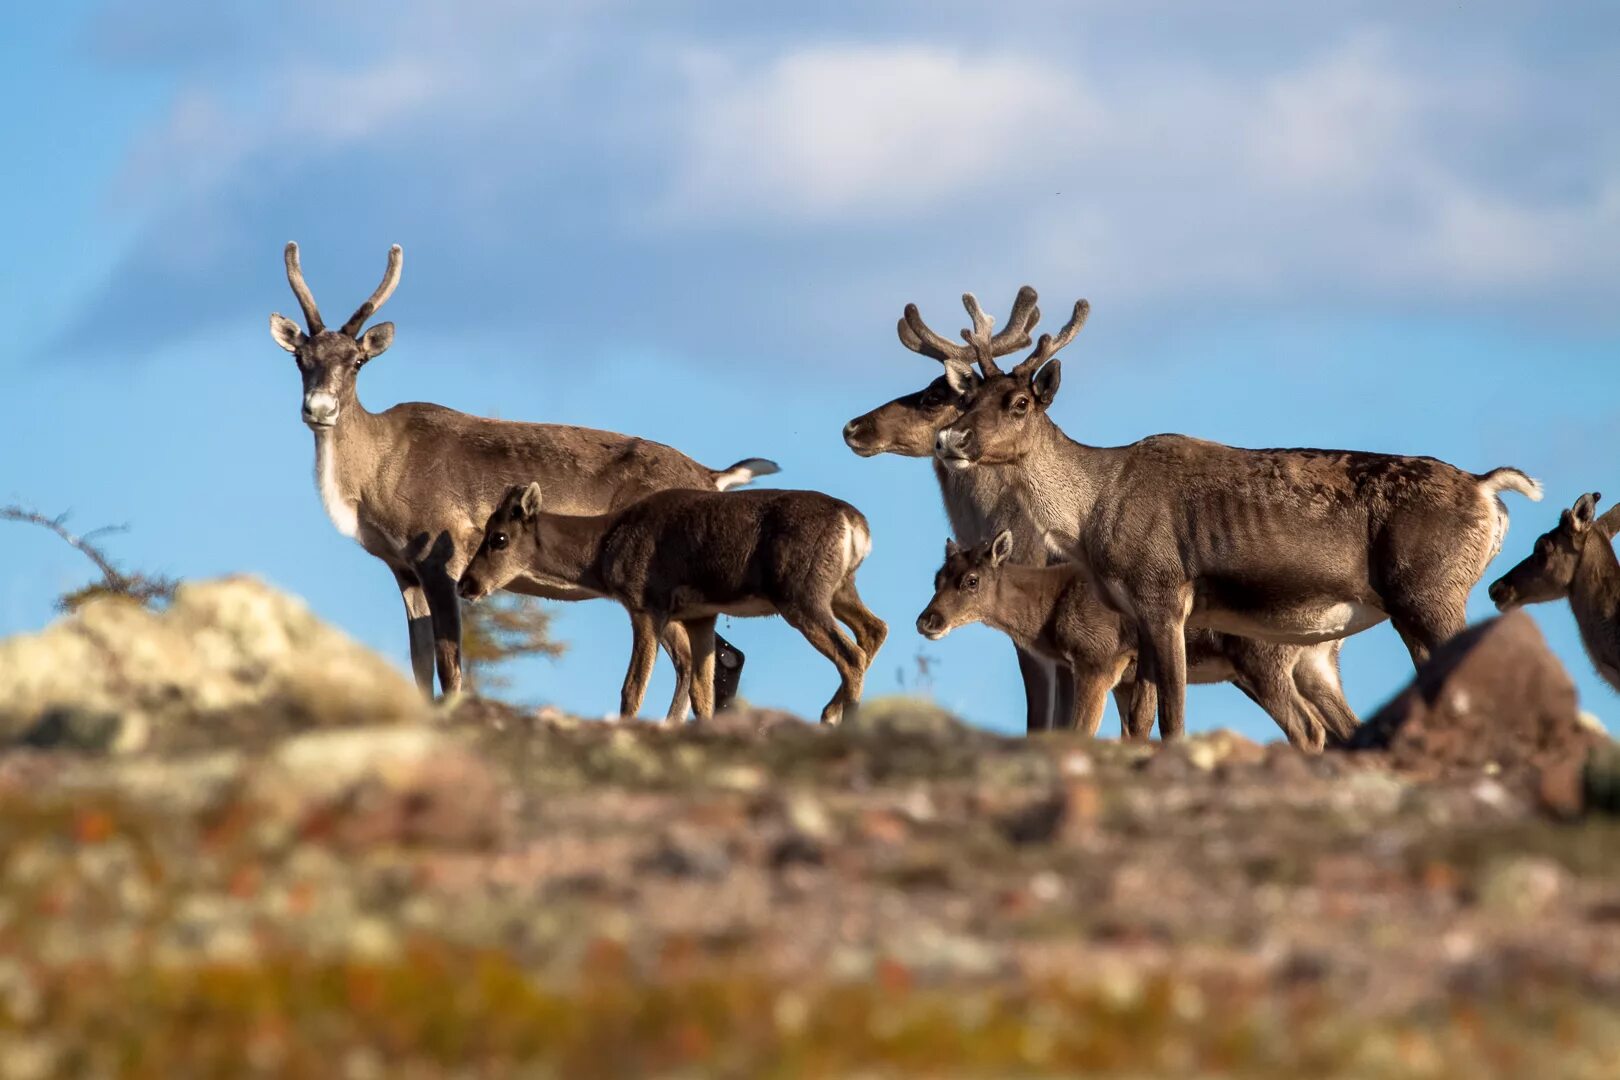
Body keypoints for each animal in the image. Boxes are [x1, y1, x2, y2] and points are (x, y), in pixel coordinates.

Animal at [456, 485, 887, 722]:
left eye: (498, 538)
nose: (466, 584)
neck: (603, 550)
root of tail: (858, 526)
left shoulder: (647, 604)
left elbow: (632, 688)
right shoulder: (702, 615)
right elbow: (702, 694)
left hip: (802, 593)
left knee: (850, 654)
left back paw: (843, 720)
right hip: (840, 587)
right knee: (874, 629)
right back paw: (830, 713)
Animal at [920, 531, 1360, 751]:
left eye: (971, 580)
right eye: (937, 577)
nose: (927, 621)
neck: (1047, 614)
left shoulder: (1096, 660)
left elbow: (1083, 731)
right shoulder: (1127, 678)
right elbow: (1134, 731)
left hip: (1262, 659)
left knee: (1308, 729)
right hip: (1317, 667)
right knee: (1348, 728)